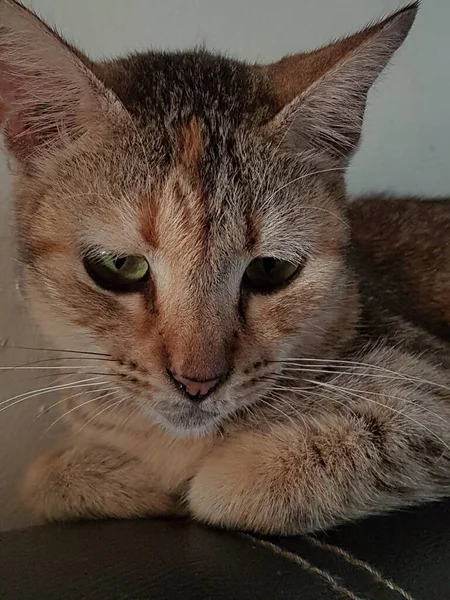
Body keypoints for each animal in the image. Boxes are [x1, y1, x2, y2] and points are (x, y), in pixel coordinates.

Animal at [0, 0, 450, 536]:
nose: (198, 383)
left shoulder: (431, 388)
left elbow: (228, 489)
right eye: (120, 266)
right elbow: (43, 480)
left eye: (270, 270)